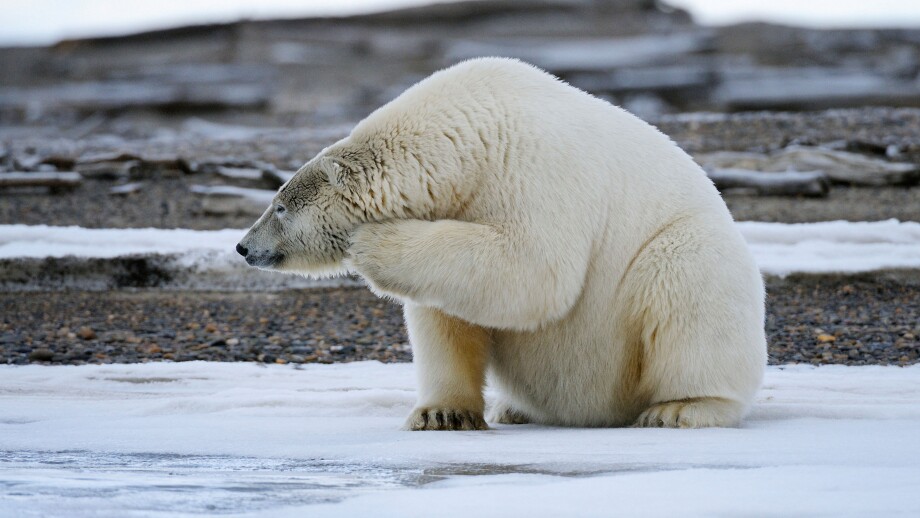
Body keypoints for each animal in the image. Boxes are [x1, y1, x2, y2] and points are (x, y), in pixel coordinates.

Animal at [237, 57, 766, 430]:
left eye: (279, 206)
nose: (243, 246)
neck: (472, 133)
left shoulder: (534, 170)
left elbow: (535, 268)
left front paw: (373, 241)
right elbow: (445, 312)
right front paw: (441, 414)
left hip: (688, 258)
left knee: (687, 282)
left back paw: (680, 408)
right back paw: (514, 409)